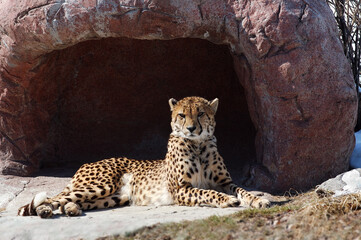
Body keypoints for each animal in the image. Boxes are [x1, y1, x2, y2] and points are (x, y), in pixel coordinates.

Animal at [18, 96, 268, 218]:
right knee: (54, 198)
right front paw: (226, 200)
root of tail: (90, 161)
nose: (191, 128)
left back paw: (70, 210)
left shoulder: (224, 181)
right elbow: (206, 192)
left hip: (115, 197)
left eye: (201, 114)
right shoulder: (181, 189)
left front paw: (260, 200)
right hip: (102, 185)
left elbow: (242, 190)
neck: (197, 145)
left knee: (69, 201)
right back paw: (44, 211)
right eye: (182, 115)